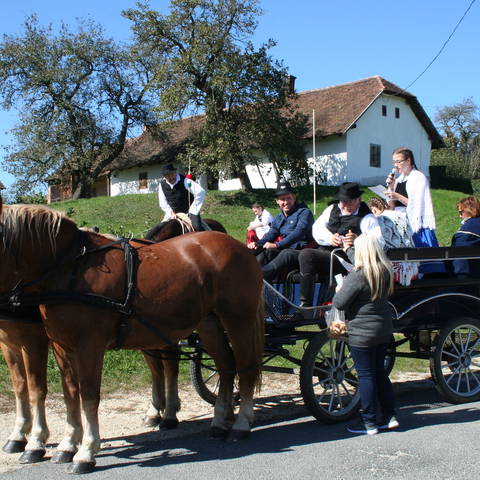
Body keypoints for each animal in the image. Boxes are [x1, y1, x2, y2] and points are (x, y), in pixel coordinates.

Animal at [0, 202, 262, 472]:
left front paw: (85, 452)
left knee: (246, 369)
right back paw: (219, 421)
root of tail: (238, 246)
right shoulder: (60, 346)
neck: (71, 268)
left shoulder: (86, 346)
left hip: (239, 321)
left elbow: (87, 396)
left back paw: (240, 424)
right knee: (226, 366)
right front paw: (67, 444)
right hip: (208, 324)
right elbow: (68, 393)